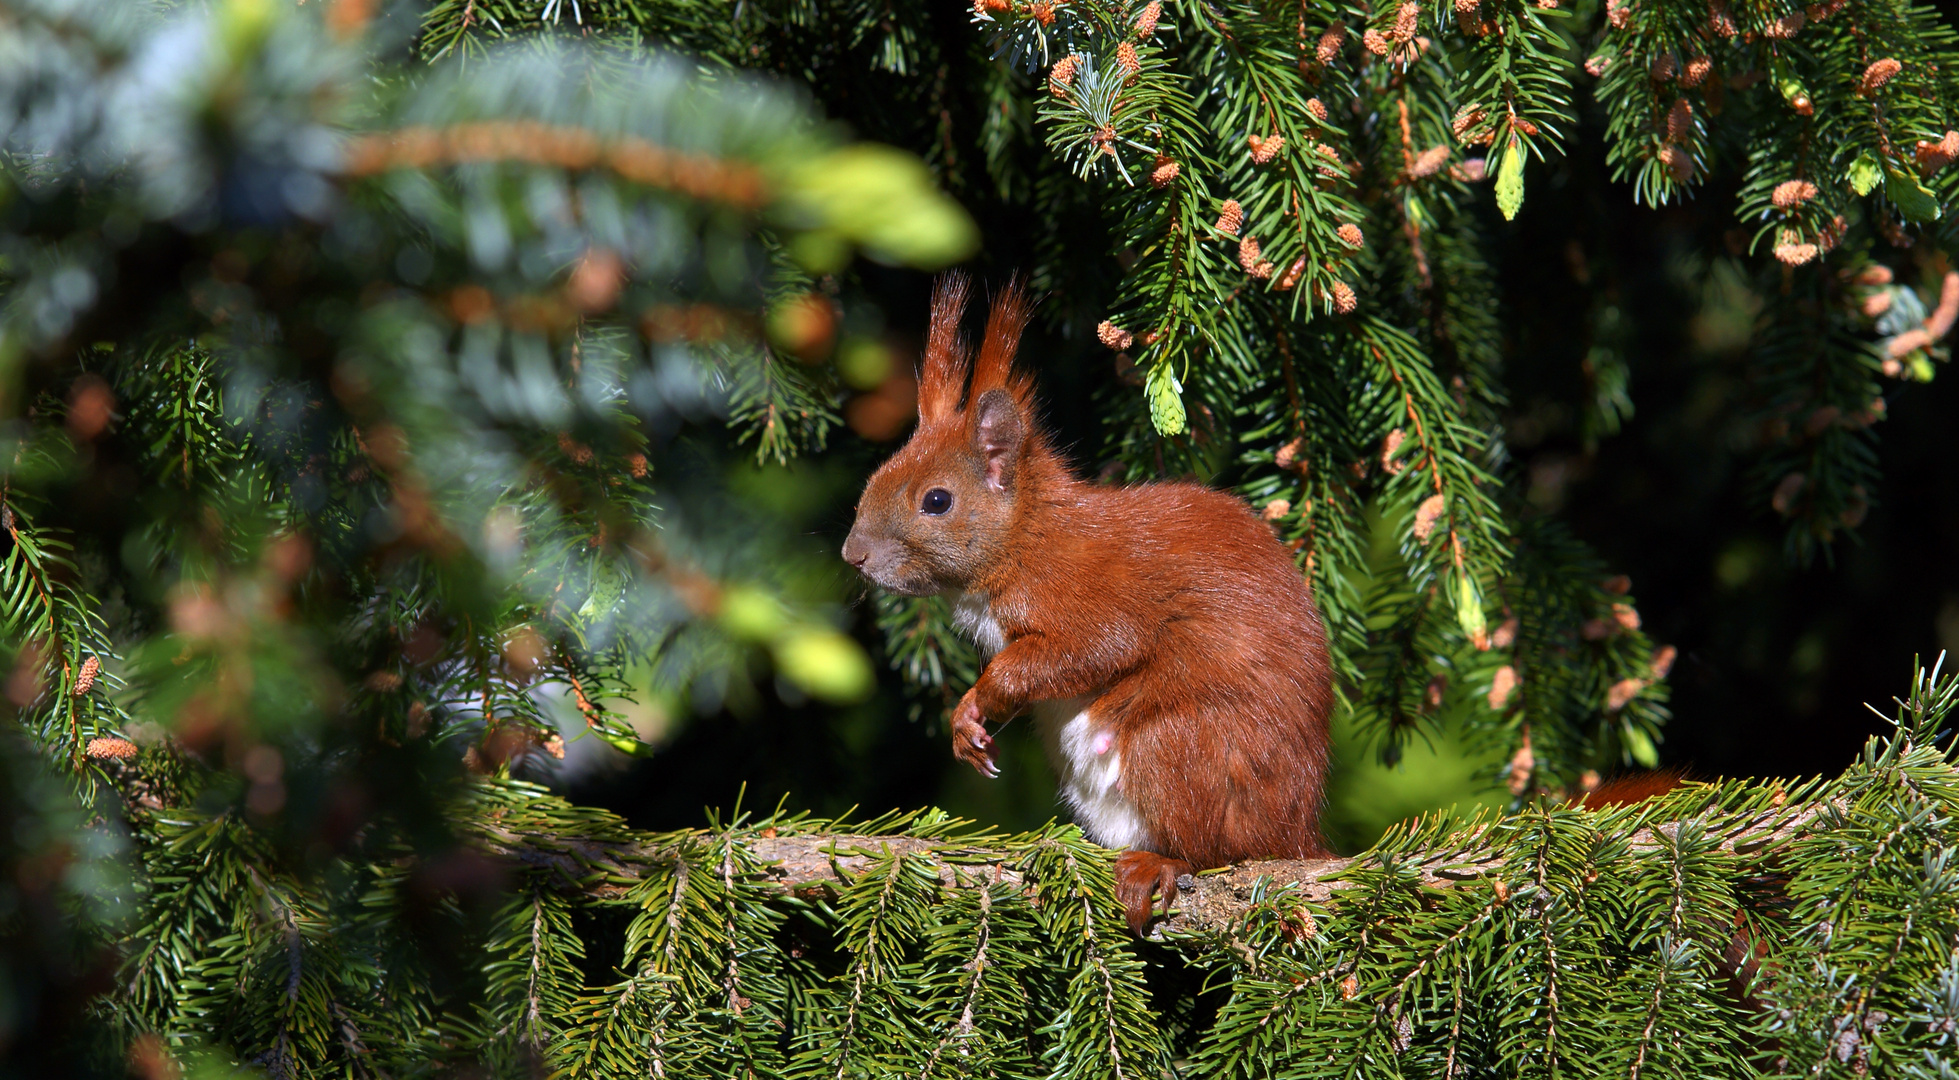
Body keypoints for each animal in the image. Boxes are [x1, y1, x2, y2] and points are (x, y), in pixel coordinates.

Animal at [834, 276, 1339, 929]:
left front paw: (978, 700)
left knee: (1217, 851)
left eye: (937, 500)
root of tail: (1297, 832)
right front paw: (966, 724)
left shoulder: (1089, 595)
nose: (853, 555)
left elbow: (1094, 650)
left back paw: (1164, 864)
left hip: (1179, 746)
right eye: (877, 474)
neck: (1027, 541)